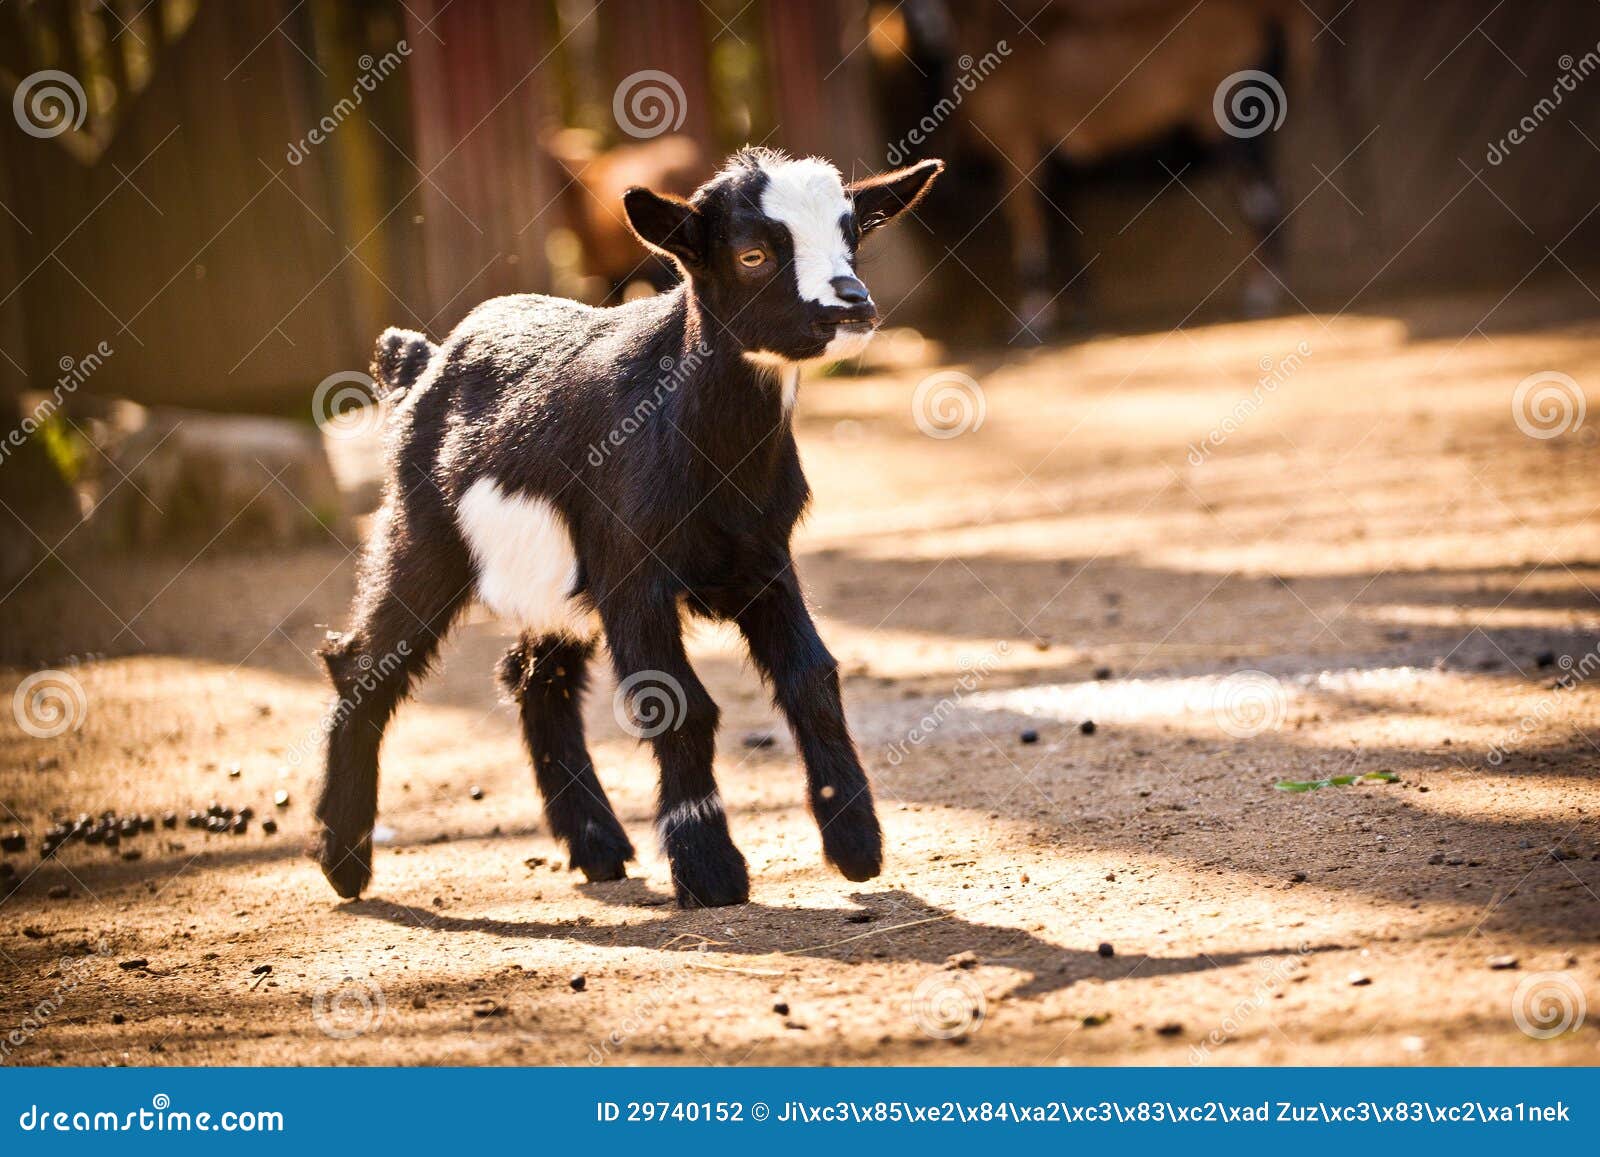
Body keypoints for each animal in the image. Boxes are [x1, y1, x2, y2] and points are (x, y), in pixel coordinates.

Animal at [313, 147, 943, 908]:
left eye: (852, 237)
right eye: (754, 254)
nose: (852, 302)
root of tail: (419, 360)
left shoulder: (762, 559)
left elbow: (811, 678)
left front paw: (855, 842)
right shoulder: (632, 569)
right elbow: (679, 704)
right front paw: (709, 869)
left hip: (554, 576)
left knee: (534, 679)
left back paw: (597, 846)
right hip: (423, 531)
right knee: (364, 662)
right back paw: (343, 858)